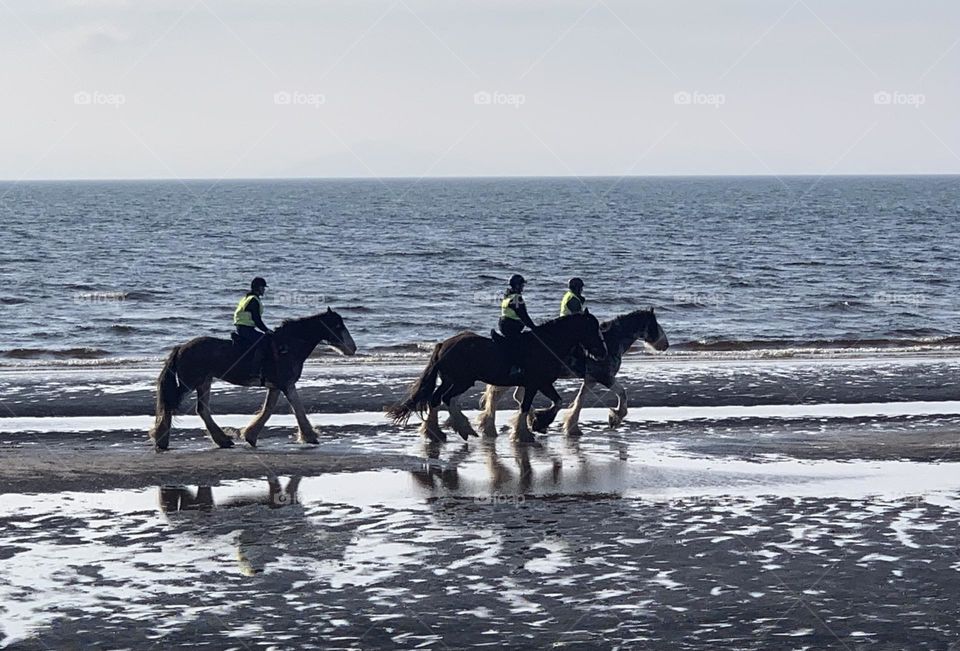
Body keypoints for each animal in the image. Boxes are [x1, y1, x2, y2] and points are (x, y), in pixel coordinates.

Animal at [148, 308, 357, 451]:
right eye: (338, 325)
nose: (352, 348)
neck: (288, 345)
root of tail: (181, 348)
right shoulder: (286, 383)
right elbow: (296, 408)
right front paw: (310, 436)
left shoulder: (277, 386)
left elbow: (269, 409)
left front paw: (250, 435)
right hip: (190, 382)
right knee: (171, 405)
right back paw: (161, 440)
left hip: (204, 382)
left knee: (202, 410)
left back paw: (223, 440)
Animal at [386, 311, 607, 444]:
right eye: (593, 328)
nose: (602, 352)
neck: (546, 344)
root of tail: (443, 345)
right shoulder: (537, 384)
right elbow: (530, 406)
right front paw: (527, 431)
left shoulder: (539, 384)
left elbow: (555, 402)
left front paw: (537, 424)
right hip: (461, 381)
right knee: (445, 398)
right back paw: (463, 429)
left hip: (450, 380)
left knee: (435, 399)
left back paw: (437, 433)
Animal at [476, 308, 668, 437]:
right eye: (655, 324)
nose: (665, 344)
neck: (612, 340)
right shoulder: (604, 376)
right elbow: (622, 393)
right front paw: (615, 417)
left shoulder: (591, 379)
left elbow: (580, 401)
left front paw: (572, 426)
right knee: (498, 396)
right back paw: (493, 426)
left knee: (516, 396)